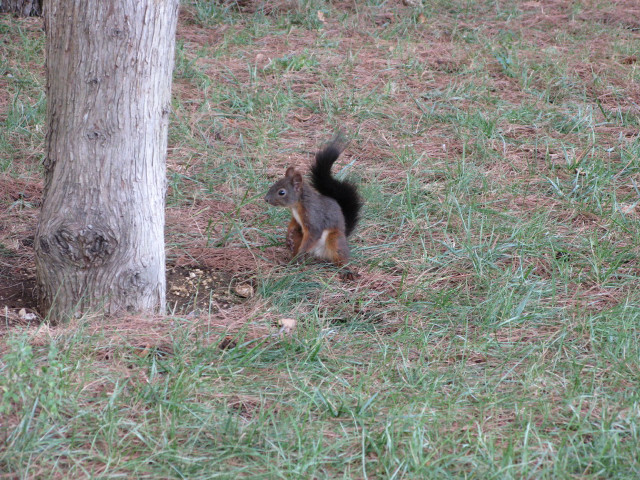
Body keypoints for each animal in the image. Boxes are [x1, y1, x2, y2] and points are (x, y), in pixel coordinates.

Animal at [264, 137, 362, 279]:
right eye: (274, 184)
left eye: (281, 192)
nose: (266, 199)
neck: (298, 205)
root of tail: (318, 256)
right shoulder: (296, 218)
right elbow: (293, 224)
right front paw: (288, 236)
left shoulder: (313, 217)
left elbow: (313, 233)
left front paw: (301, 251)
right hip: (300, 237)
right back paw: (291, 261)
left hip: (335, 239)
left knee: (340, 257)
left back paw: (346, 270)